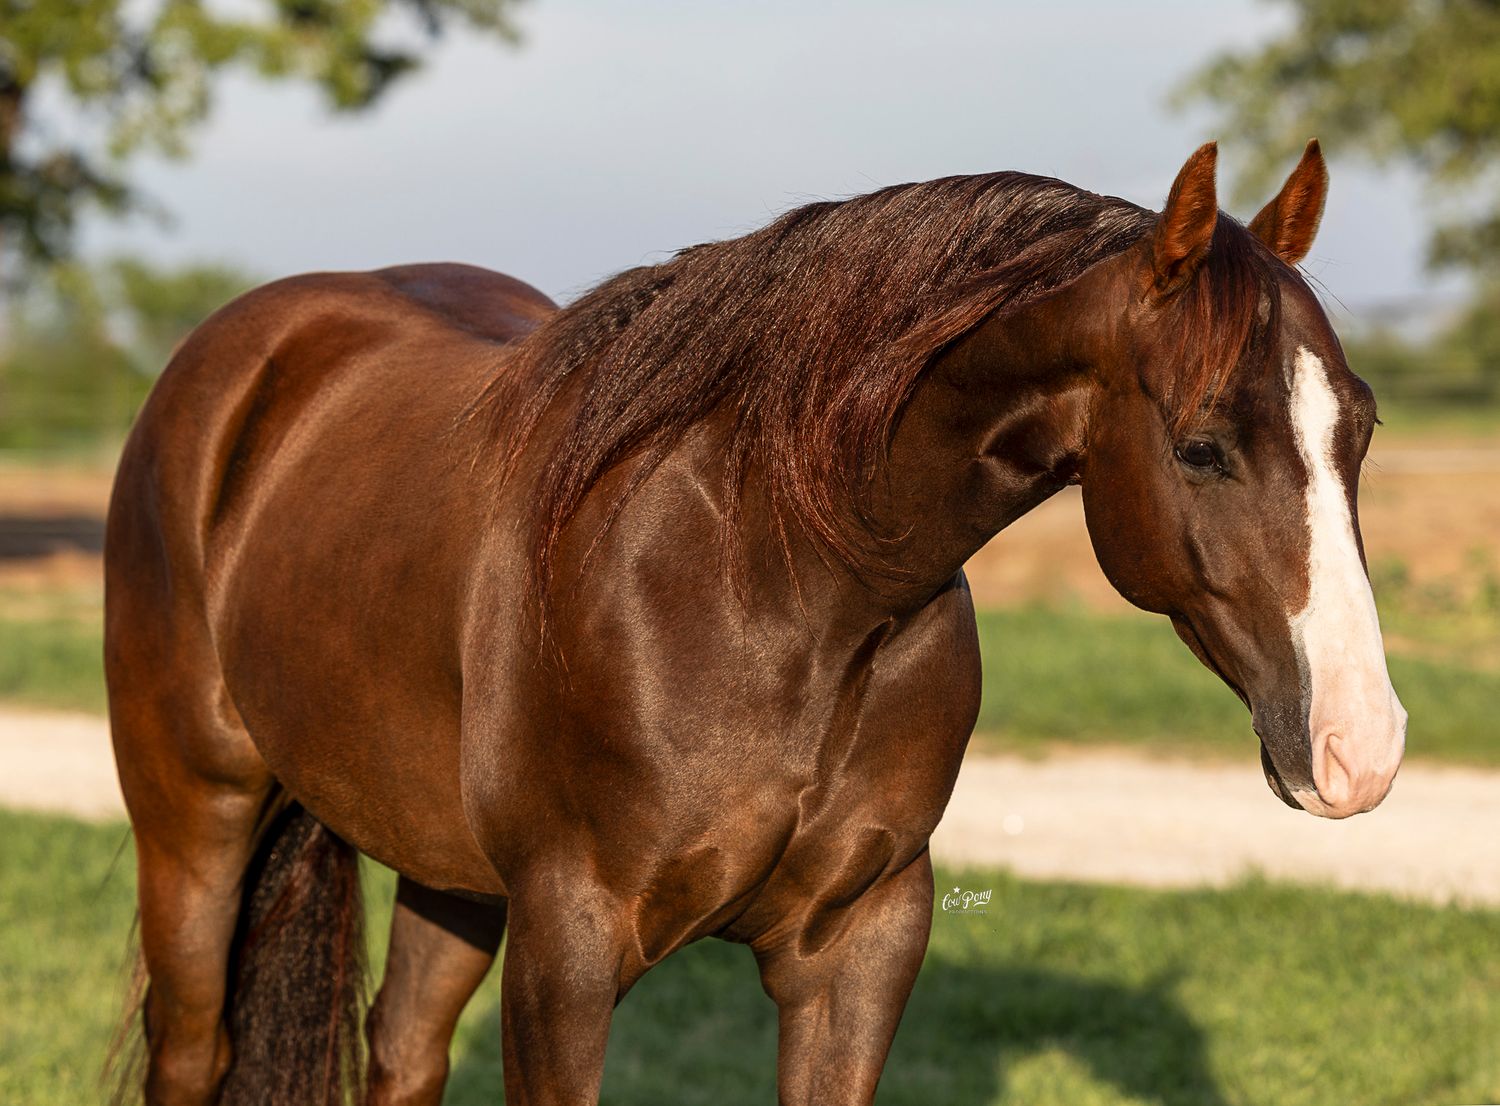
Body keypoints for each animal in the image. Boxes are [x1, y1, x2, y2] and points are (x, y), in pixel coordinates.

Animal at [104, 139, 1406, 1105]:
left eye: (1360, 426)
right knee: (193, 1047)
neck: (776, 578)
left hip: (449, 876)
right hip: (195, 821)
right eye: (1202, 445)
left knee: (402, 1051)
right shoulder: (569, 949)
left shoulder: (858, 943)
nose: (1364, 746)